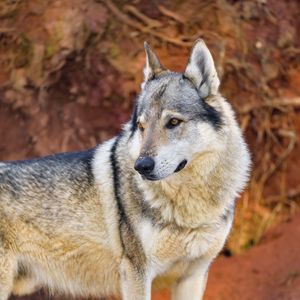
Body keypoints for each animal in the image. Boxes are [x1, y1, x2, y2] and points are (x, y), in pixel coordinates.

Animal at [0, 39, 250, 300]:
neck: (189, 207)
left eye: (173, 122)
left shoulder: (194, 276)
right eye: (141, 126)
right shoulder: (136, 272)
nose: (141, 166)